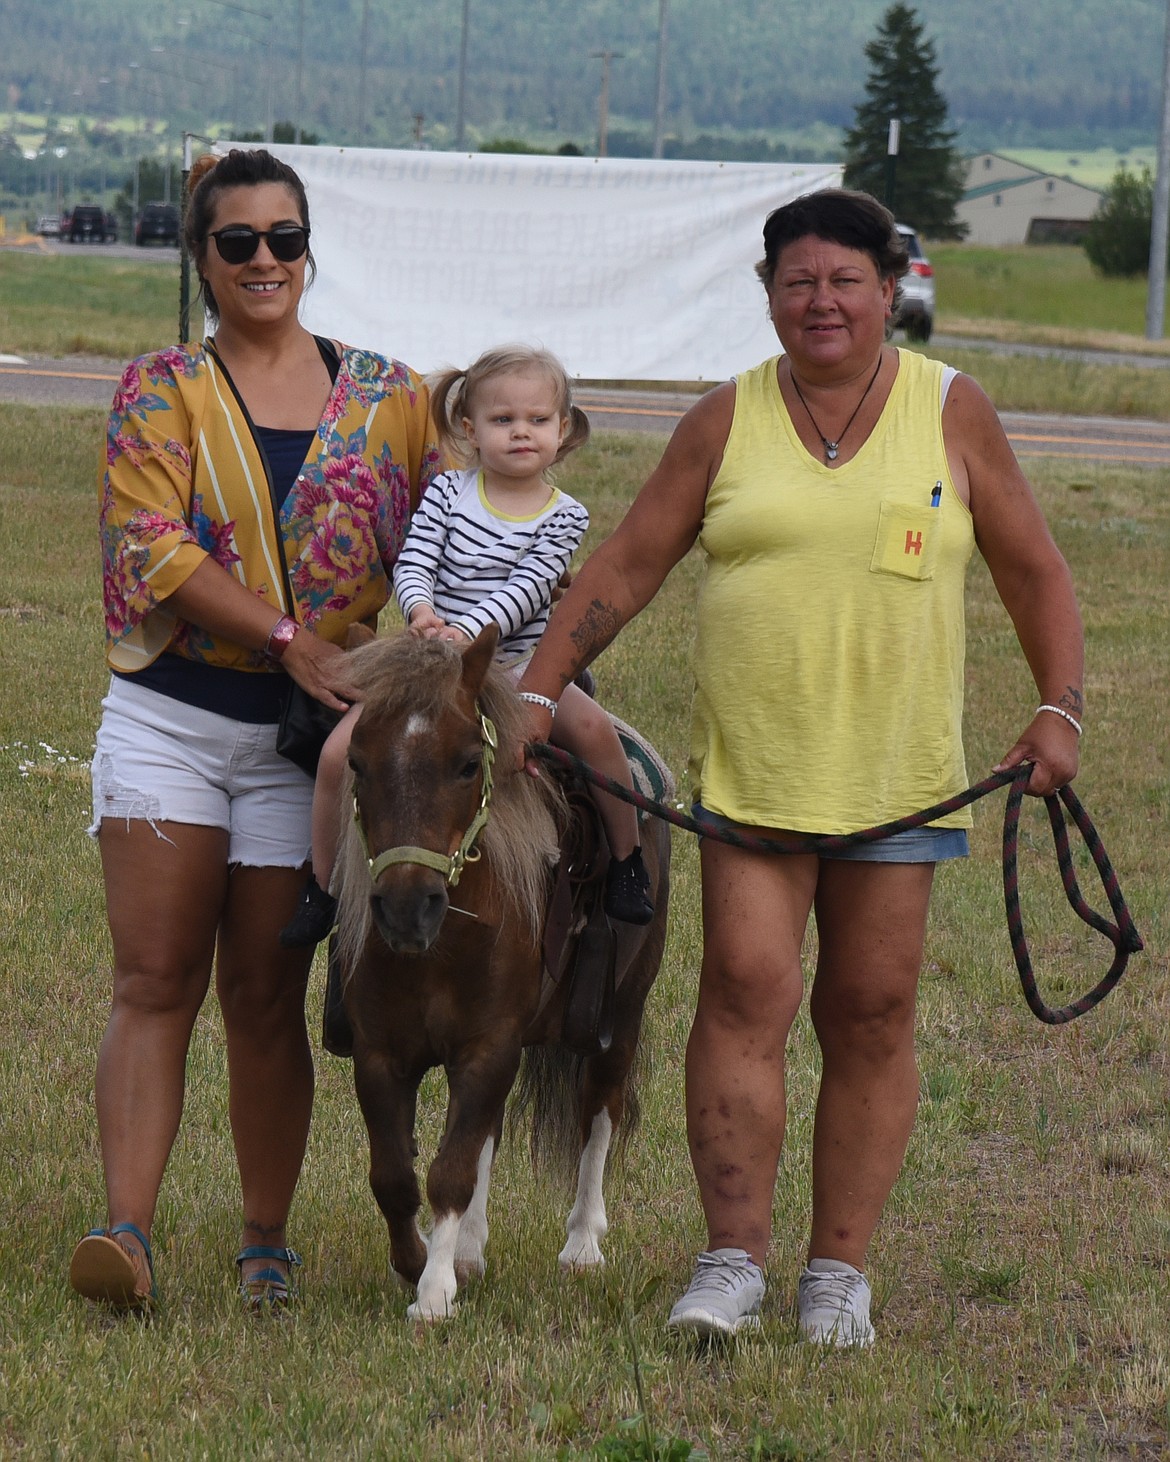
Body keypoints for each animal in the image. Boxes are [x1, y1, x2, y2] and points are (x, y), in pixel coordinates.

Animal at [333, 622, 672, 1321]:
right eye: (356, 762)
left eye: (468, 763)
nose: (407, 907)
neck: (446, 940)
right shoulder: (382, 1055)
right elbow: (395, 1176)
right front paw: (421, 1263)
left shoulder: (490, 1046)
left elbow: (451, 1170)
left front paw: (433, 1295)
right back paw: (468, 1250)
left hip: (619, 1018)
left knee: (598, 1114)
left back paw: (582, 1246)